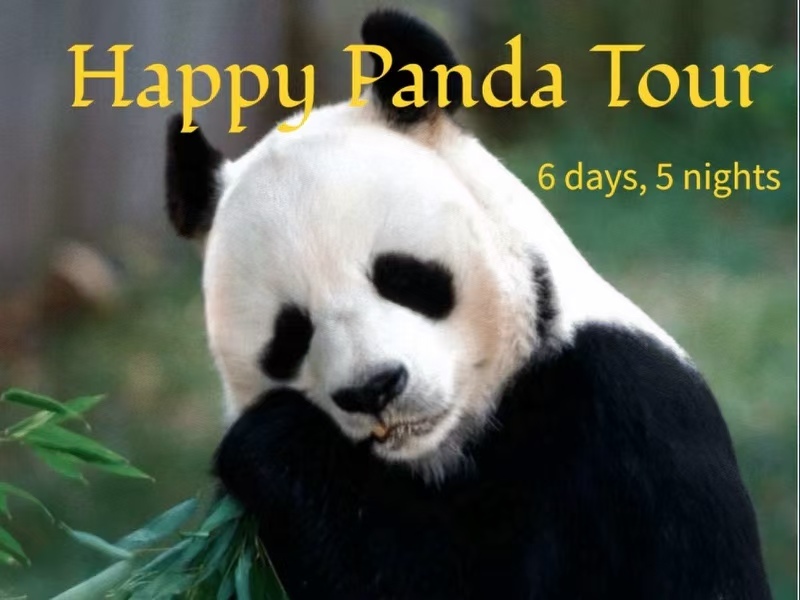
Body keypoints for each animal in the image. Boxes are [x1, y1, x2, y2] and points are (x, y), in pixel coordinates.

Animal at [164, 10, 770, 600]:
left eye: (402, 277)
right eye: (290, 334)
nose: (373, 389)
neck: (447, 443)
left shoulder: (631, 419)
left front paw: (276, 439)